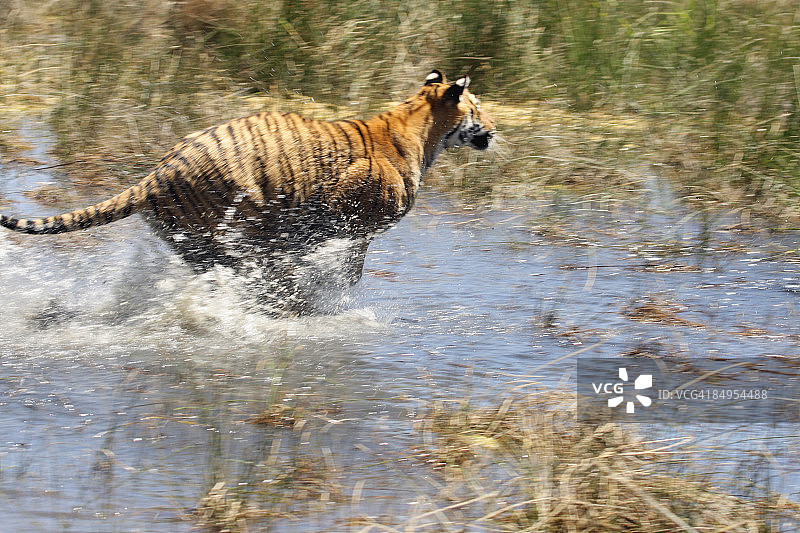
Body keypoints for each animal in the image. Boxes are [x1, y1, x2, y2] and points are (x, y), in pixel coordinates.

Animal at [0, 70, 495, 312]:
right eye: (478, 107)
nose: (494, 128)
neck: (420, 126)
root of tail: (156, 173)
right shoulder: (348, 215)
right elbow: (346, 262)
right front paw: (329, 289)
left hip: (194, 241)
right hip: (244, 220)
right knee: (252, 268)